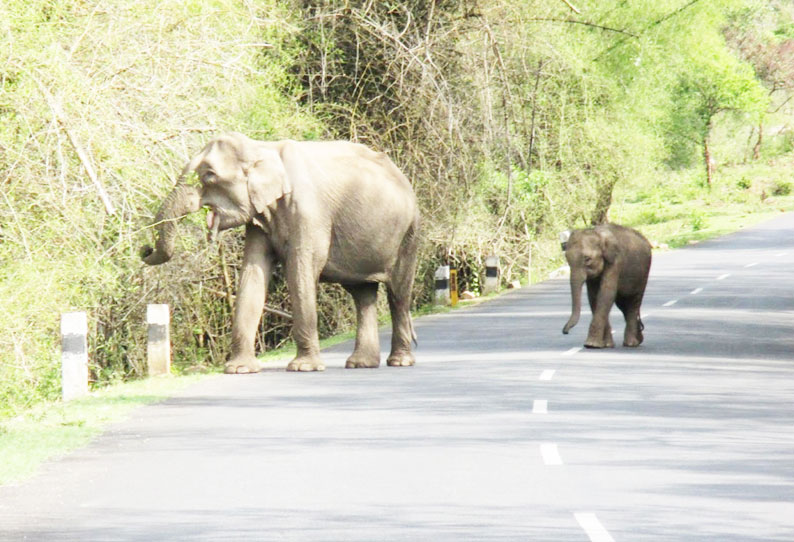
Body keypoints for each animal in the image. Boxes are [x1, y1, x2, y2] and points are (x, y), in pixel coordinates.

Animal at [141, 134, 420, 376]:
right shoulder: (259, 218)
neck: (263, 148)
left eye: (209, 176)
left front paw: (303, 368)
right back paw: (361, 364)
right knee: (363, 294)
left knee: (398, 293)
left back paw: (399, 361)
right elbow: (253, 273)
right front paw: (239, 369)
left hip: (408, 233)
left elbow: (300, 271)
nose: (145, 249)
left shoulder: (309, 212)